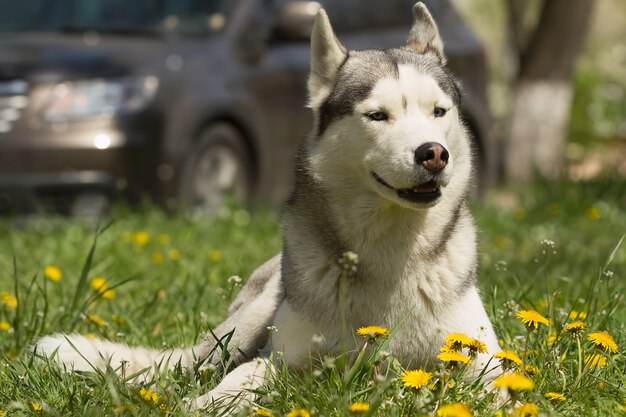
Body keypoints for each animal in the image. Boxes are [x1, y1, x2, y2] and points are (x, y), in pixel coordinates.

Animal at [34, 4, 502, 410]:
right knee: (197, 365)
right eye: (377, 116)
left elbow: (500, 389)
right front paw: (206, 405)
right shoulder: (281, 360)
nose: (434, 154)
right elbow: (244, 377)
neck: (390, 254)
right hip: (245, 324)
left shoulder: (484, 362)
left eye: (439, 111)